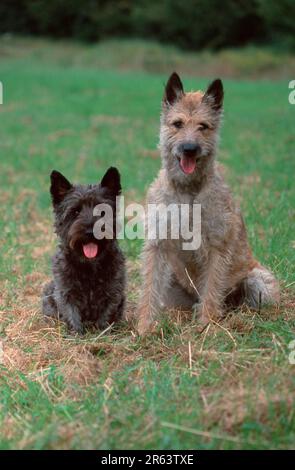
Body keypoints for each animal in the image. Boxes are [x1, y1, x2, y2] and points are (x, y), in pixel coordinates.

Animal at [42, 167, 125, 332]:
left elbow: (107, 314)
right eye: (75, 212)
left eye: (103, 212)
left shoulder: (114, 292)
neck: (89, 264)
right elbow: (71, 314)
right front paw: (76, 334)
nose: (90, 231)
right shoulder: (65, 292)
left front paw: (102, 332)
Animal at [136, 71, 280, 334]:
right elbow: (149, 289)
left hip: (258, 283)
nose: (189, 148)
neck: (187, 191)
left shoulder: (217, 247)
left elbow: (212, 288)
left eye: (203, 126)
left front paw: (207, 326)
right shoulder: (158, 245)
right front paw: (144, 327)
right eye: (178, 124)